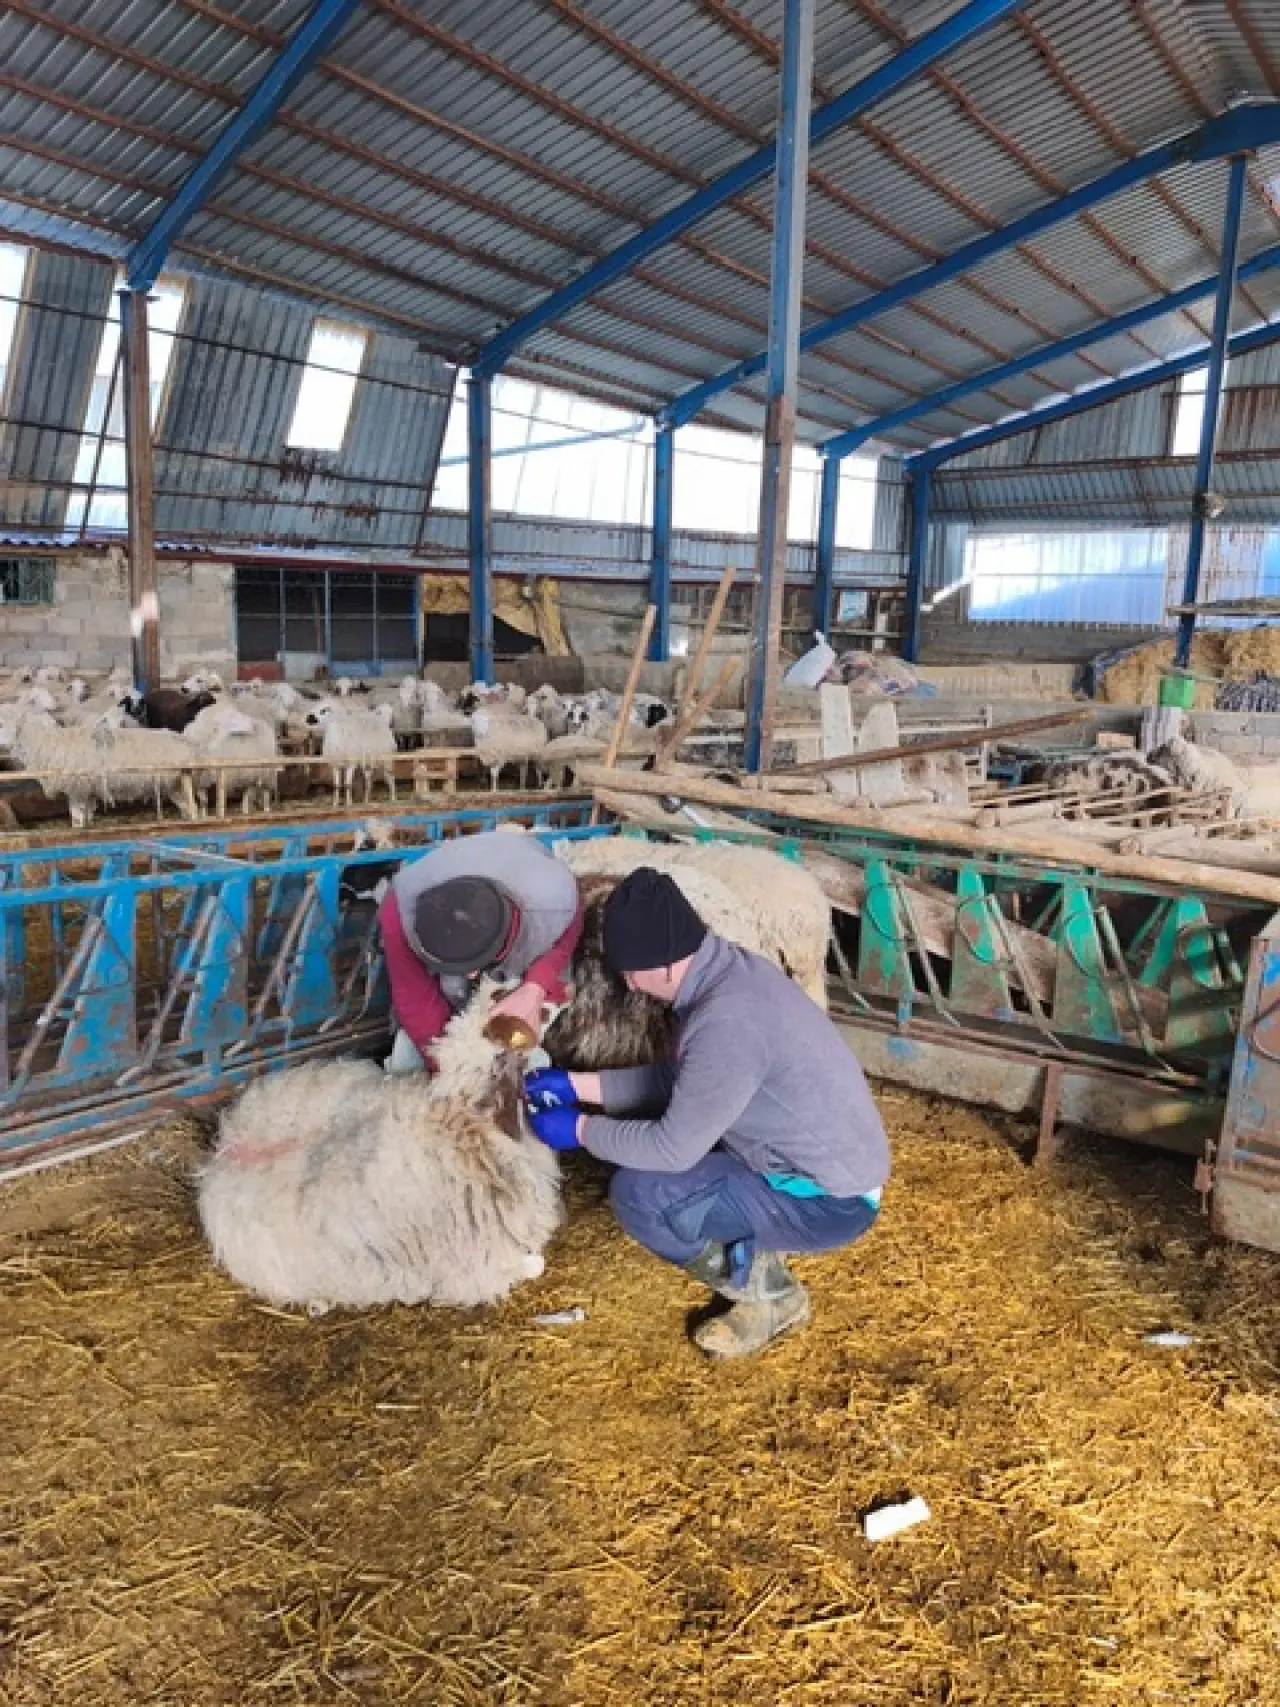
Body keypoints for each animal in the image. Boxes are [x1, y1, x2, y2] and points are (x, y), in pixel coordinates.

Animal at [0, 709, 198, 829]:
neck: (44, 744)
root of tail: (188, 742)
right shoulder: (87, 789)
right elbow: (86, 815)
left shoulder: (77, 788)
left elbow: (76, 817)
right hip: (175, 787)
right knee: (188, 809)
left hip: (178, 784)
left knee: (192, 809)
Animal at [196, 985, 563, 1313]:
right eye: (534, 1014)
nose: (563, 992)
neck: (458, 1122)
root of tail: (222, 1152)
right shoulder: (477, 1271)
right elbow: (536, 1264)